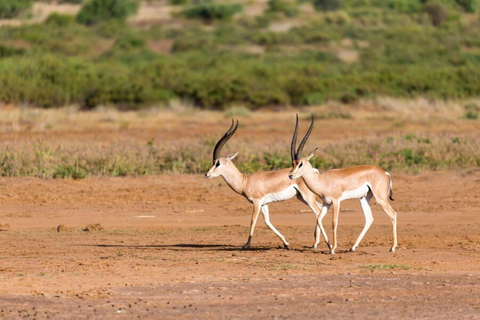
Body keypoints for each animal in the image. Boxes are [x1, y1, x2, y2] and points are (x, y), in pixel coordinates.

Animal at [206, 119, 334, 250]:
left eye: (217, 163)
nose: (207, 174)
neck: (246, 181)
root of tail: (314, 171)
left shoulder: (257, 202)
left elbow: (253, 220)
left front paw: (246, 245)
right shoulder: (264, 204)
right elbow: (267, 221)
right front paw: (286, 243)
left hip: (307, 197)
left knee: (317, 212)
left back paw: (316, 244)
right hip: (301, 197)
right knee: (320, 209)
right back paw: (315, 242)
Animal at [288, 115, 398, 255]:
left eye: (300, 164)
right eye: (293, 163)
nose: (290, 175)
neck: (322, 180)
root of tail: (385, 173)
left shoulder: (336, 201)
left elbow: (334, 222)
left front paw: (333, 249)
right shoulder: (327, 203)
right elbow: (319, 219)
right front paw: (329, 245)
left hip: (380, 199)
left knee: (393, 214)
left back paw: (392, 247)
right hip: (364, 198)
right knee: (369, 218)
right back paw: (352, 247)